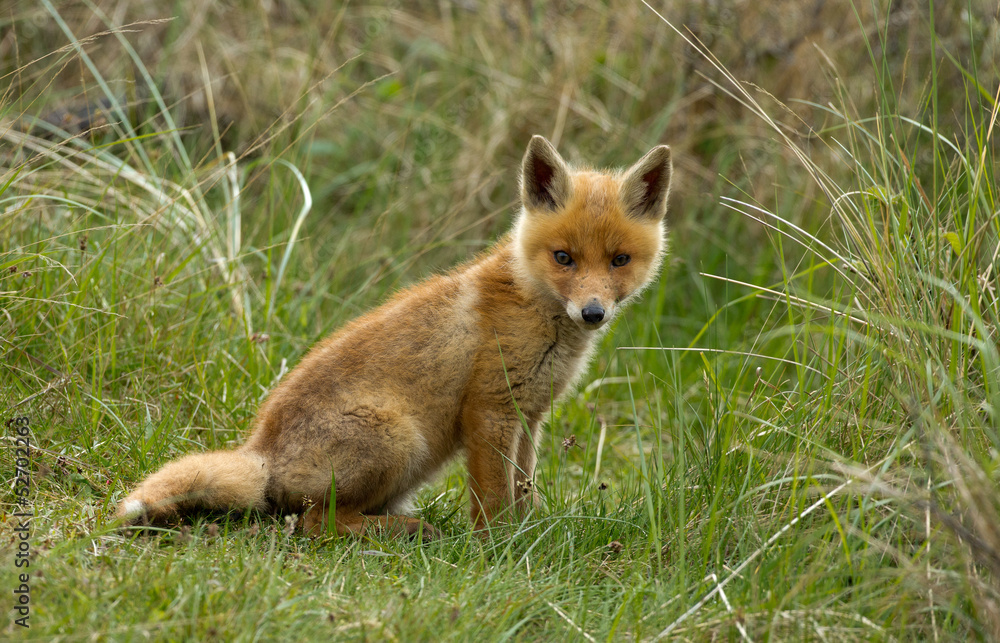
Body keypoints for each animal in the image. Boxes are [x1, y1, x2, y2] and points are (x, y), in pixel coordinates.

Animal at [117, 135, 672, 538]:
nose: (593, 312)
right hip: (400, 439)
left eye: (619, 260)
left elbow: (524, 488)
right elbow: (493, 499)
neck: (535, 310)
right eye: (564, 258)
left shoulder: (529, 415)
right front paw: (498, 548)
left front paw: (532, 534)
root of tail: (260, 450)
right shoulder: (490, 410)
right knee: (315, 524)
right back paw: (408, 532)